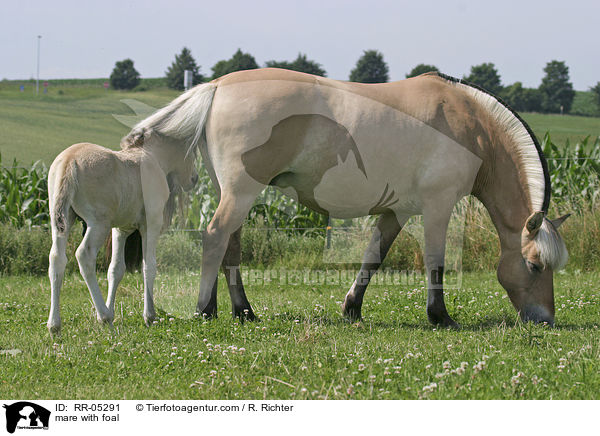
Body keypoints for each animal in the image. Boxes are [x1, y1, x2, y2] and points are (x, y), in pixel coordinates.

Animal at [45, 136, 199, 334]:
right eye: (192, 152)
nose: (194, 178)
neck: (154, 158)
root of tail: (69, 160)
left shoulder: (120, 230)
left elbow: (116, 269)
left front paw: (114, 309)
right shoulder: (151, 225)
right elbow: (149, 266)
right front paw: (150, 316)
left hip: (62, 222)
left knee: (56, 259)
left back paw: (55, 325)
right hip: (98, 224)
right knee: (84, 255)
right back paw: (104, 317)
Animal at [122, 68, 568, 326]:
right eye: (533, 266)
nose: (545, 319)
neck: (470, 125)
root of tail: (217, 86)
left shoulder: (397, 211)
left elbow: (374, 256)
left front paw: (352, 308)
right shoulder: (438, 207)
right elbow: (436, 263)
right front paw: (440, 317)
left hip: (235, 192)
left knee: (229, 243)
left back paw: (242, 311)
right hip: (242, 191)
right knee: (216, 238)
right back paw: (205, 310)